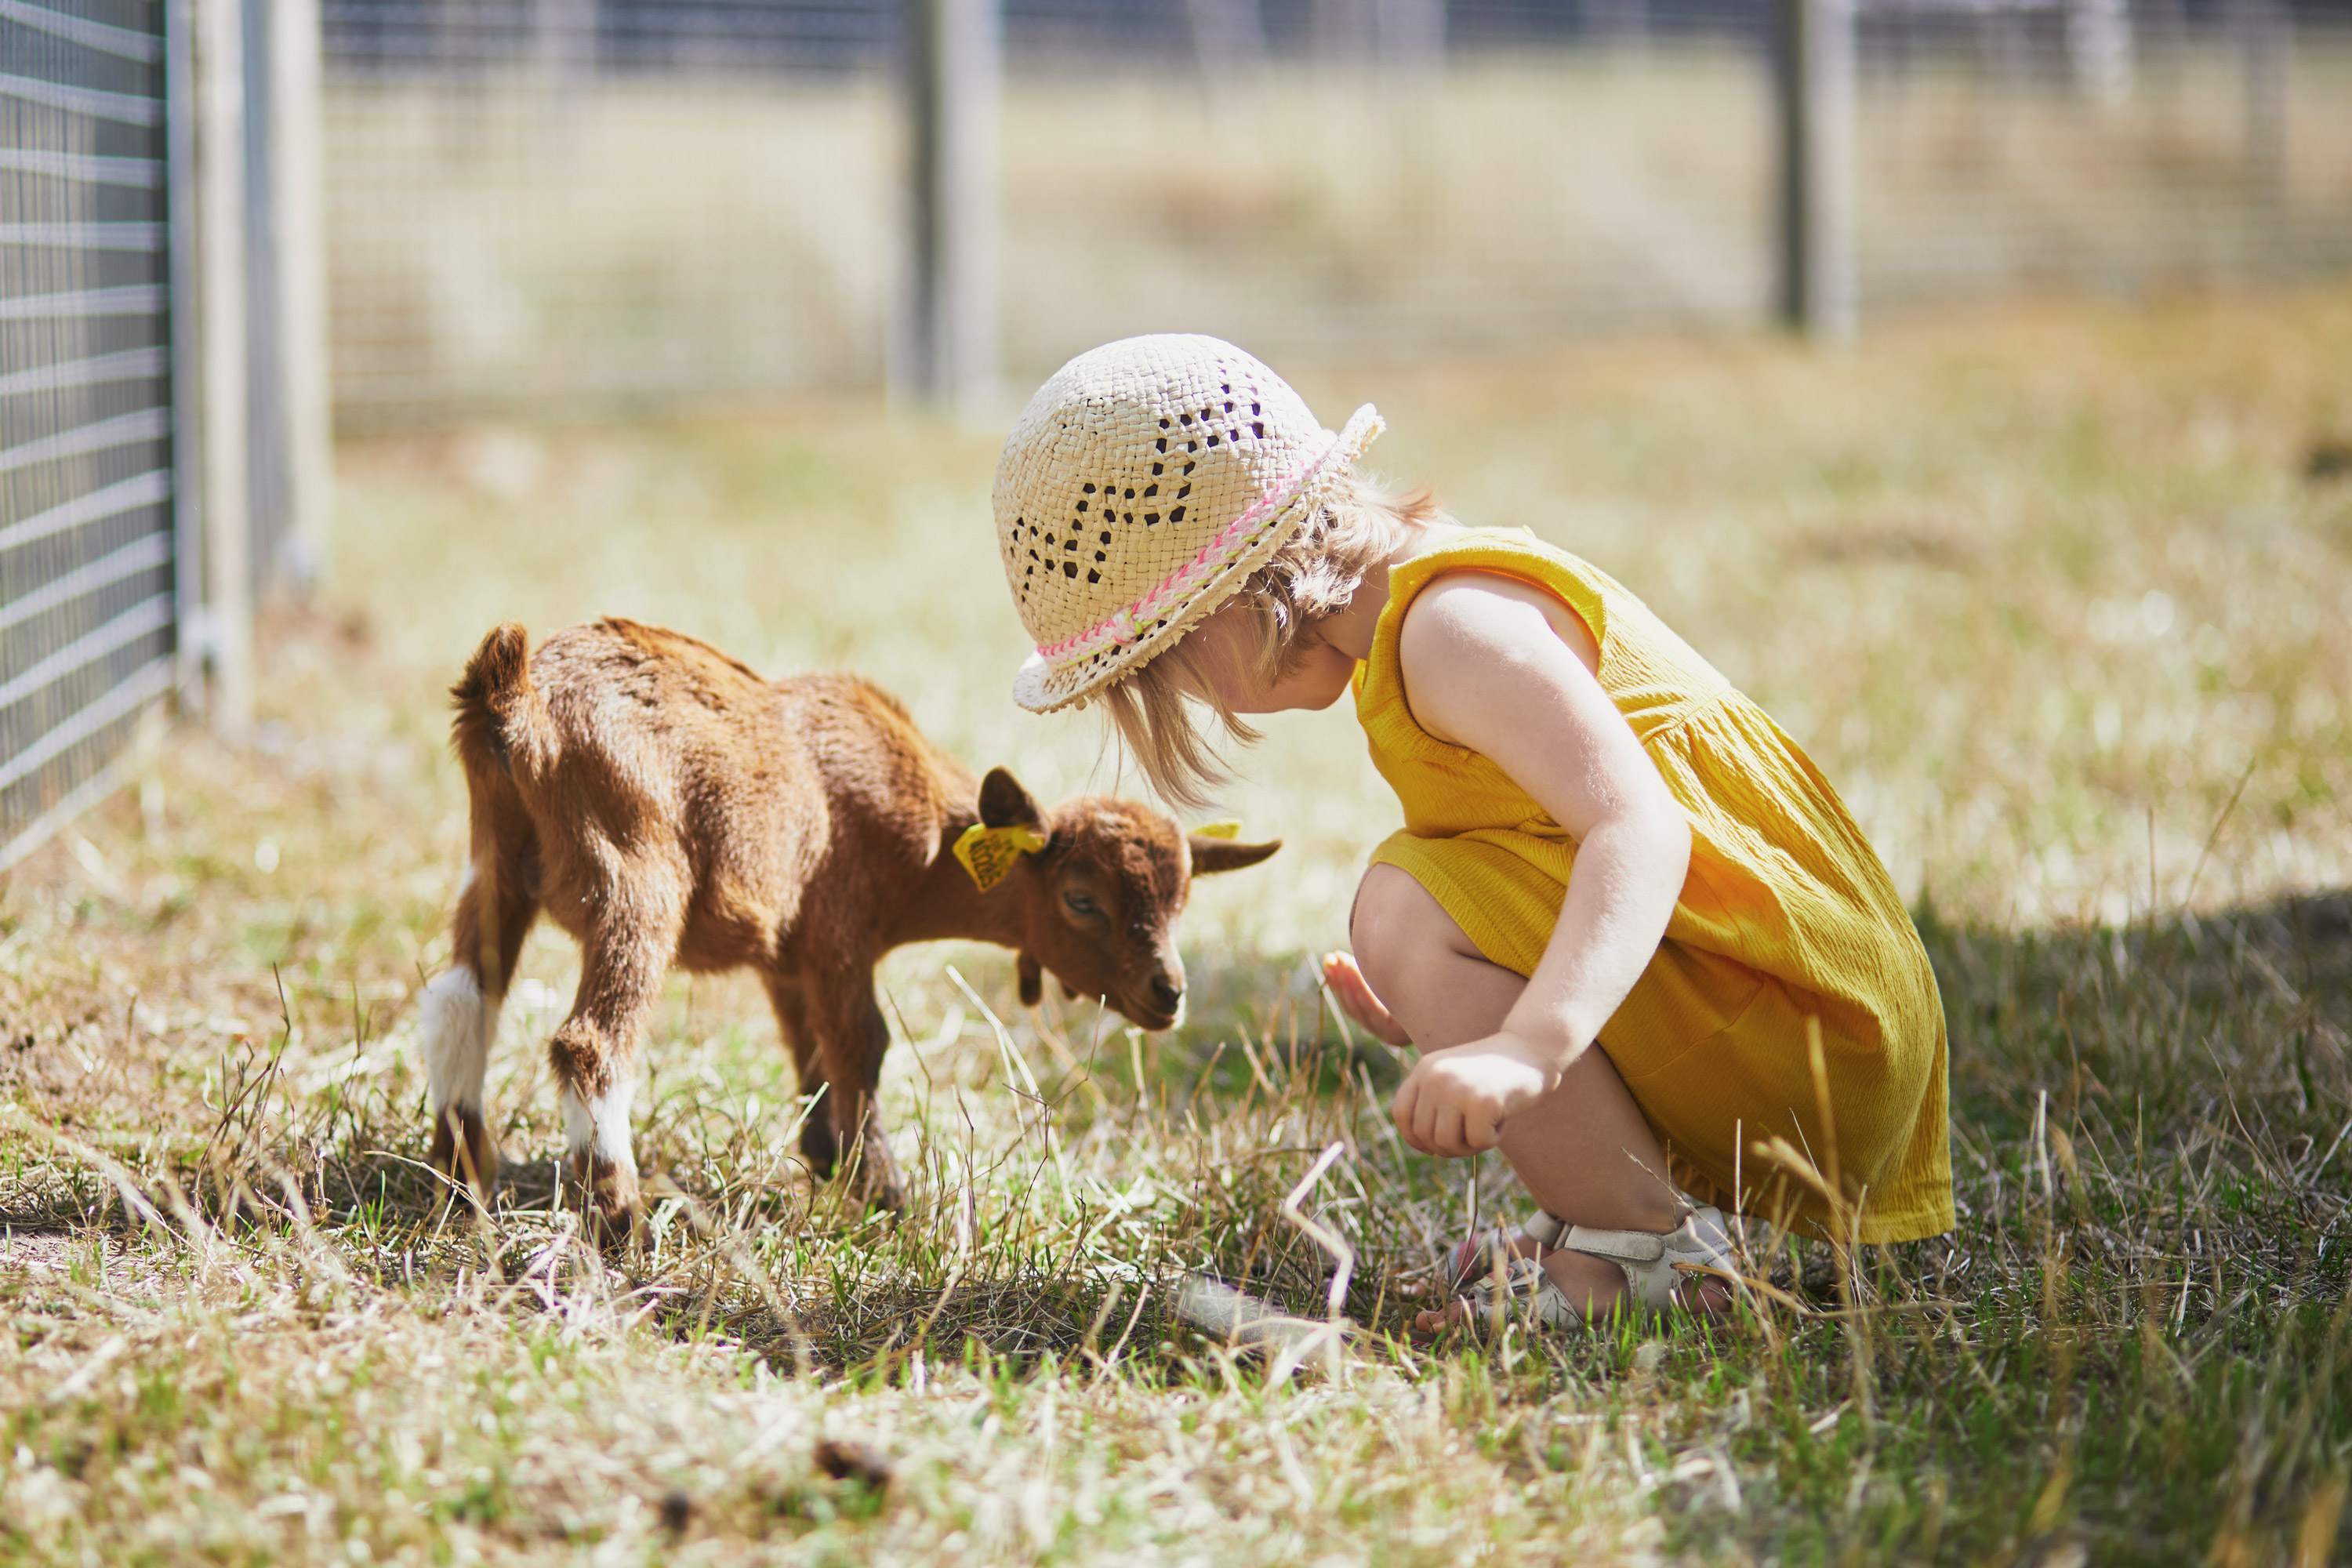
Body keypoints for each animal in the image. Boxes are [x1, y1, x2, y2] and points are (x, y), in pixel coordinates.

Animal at [415, 616, 1278, 1232]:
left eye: (1181, 901)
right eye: (1081, 899)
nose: (1168, 994)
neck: (923, 830)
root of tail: (518, 695)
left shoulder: (787, 953)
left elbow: (812, 1052)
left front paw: (829, 1161)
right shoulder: (840, 930)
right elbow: (863, 1044)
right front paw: (889, 1195)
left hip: (495, 860)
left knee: (460, 1000)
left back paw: (460, 1181)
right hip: (635, 867)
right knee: (591, 1042)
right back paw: (622, 1220)